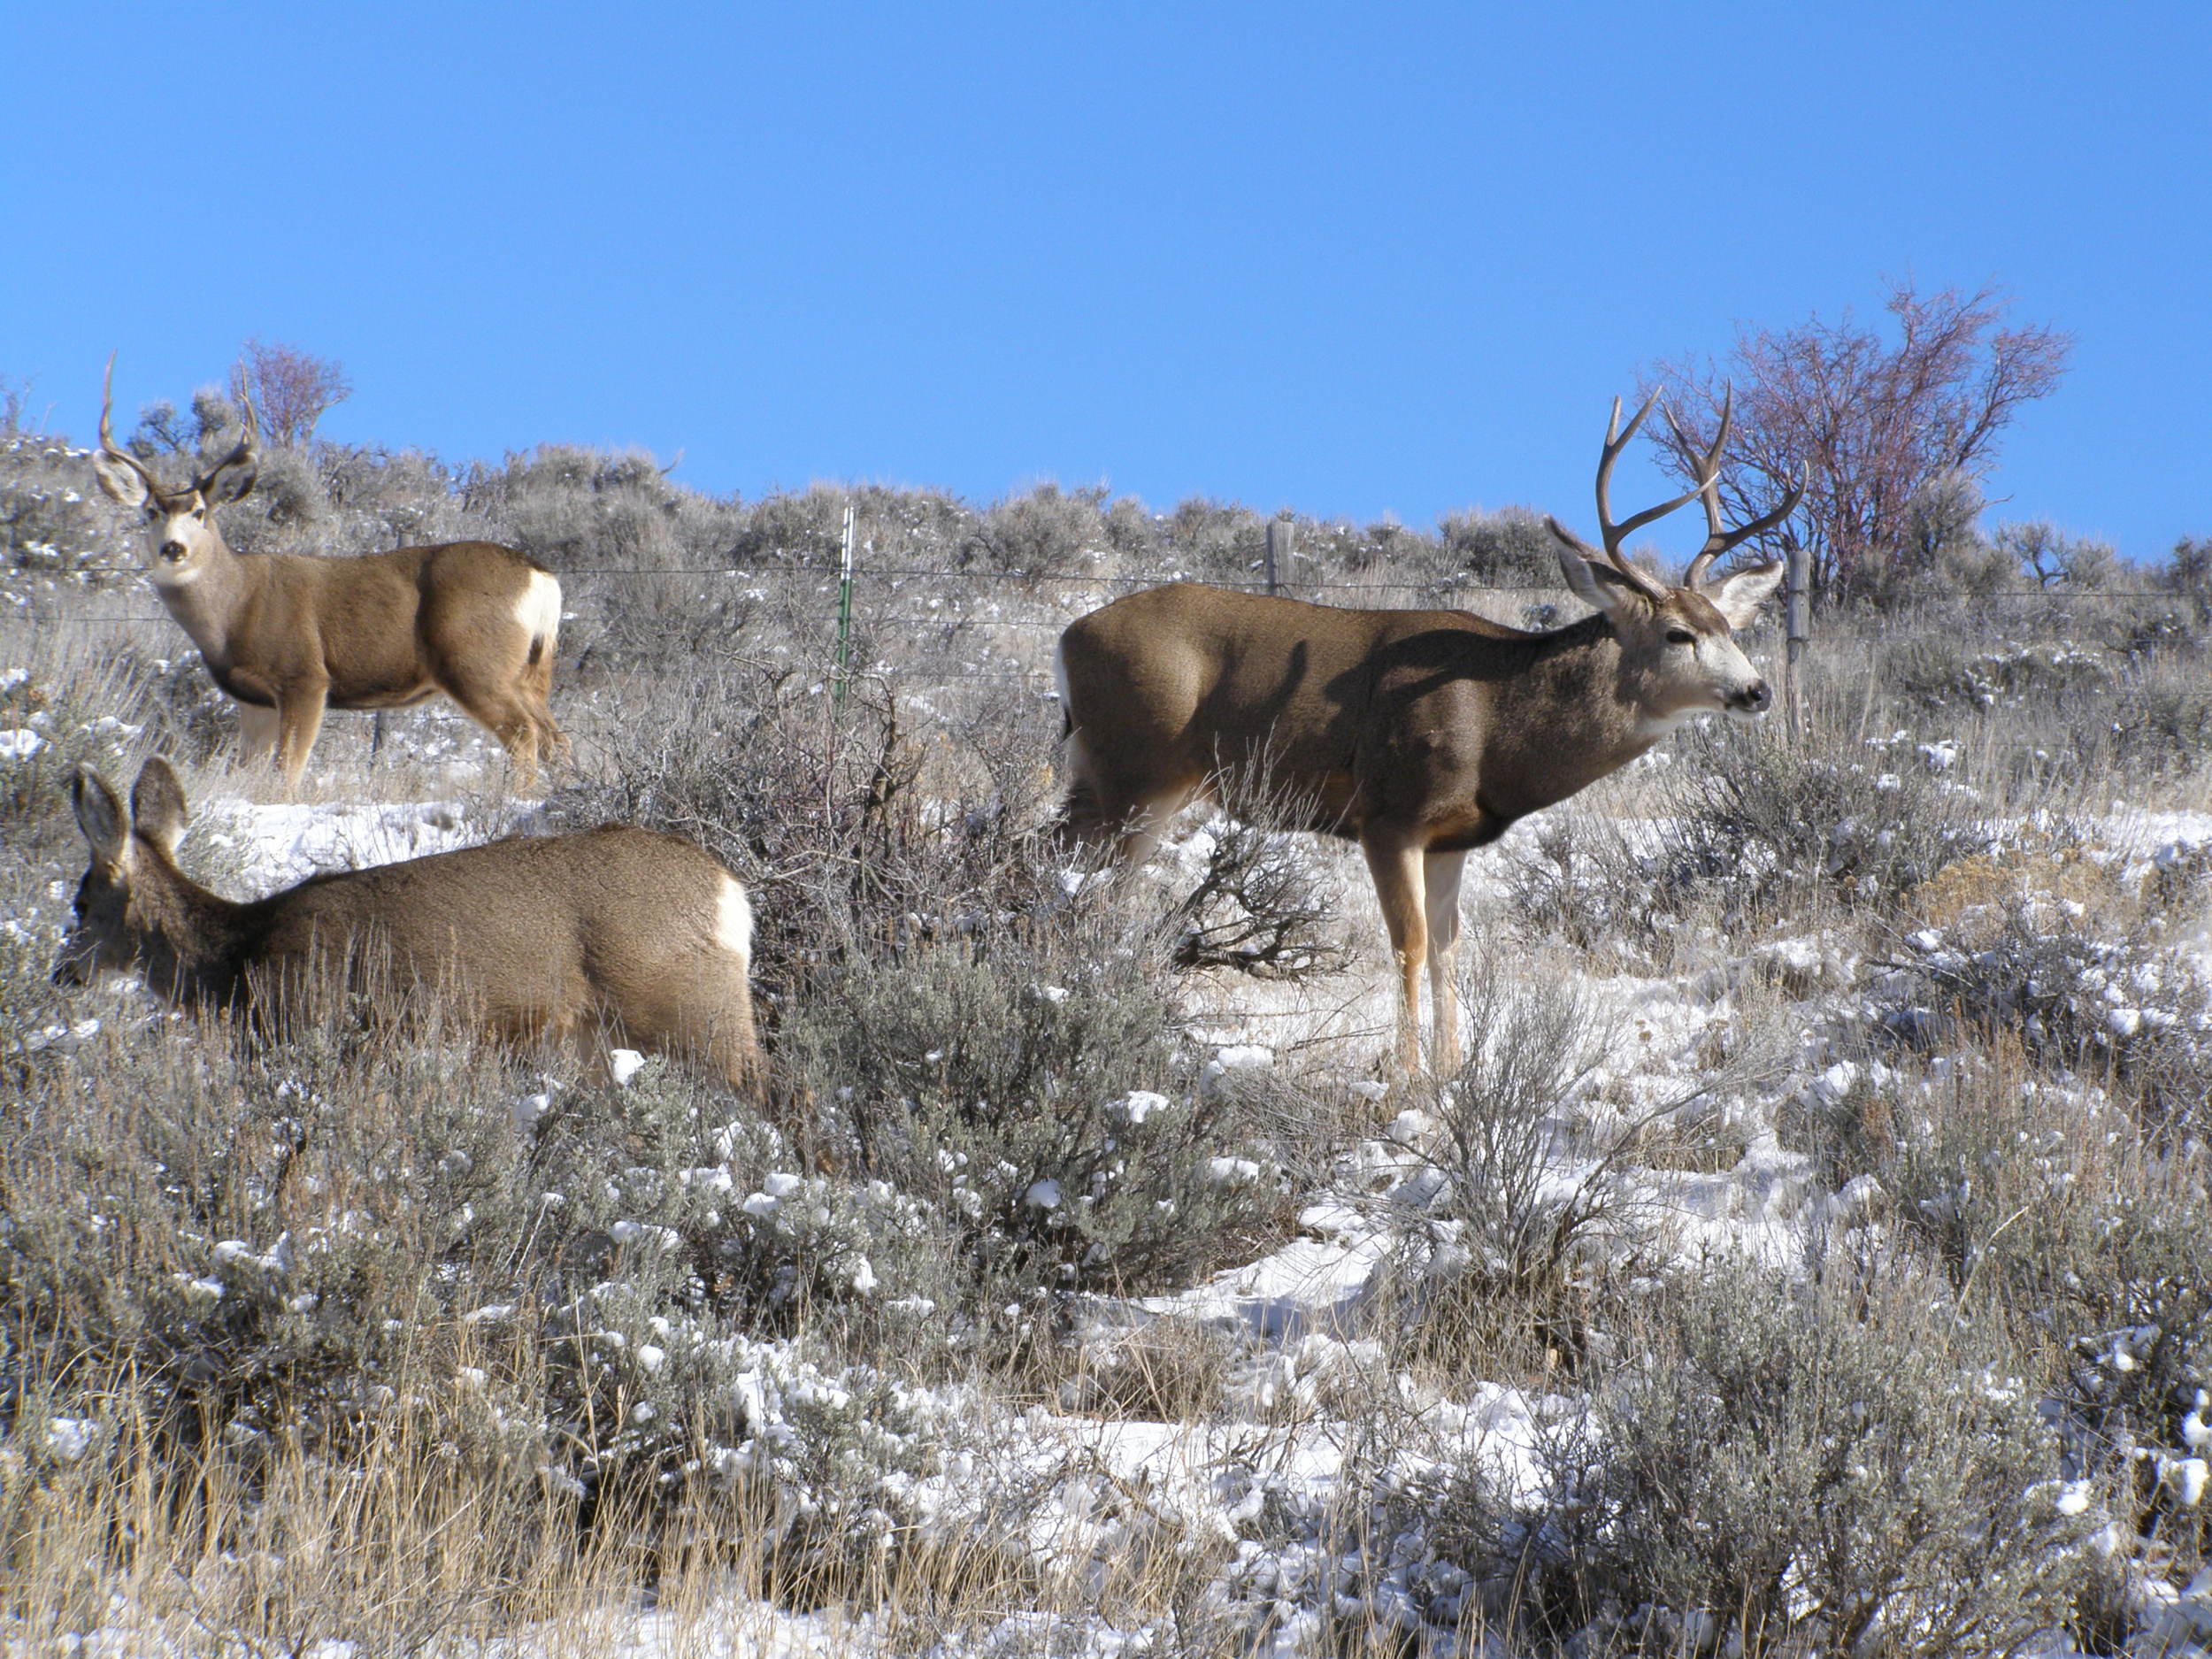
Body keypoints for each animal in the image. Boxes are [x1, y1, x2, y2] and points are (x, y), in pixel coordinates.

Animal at [53, 761, 761, 1097]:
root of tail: (731, 892)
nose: (62, 973)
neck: (238, 957)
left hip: (694, 1009)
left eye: (81, 901)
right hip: (589, 1037)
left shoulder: (316, 1025)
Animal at [89, 356, 566, 792]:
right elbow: (249, 773)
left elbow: (287, 773)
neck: (234, 609)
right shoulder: (252, 699)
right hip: (531, 671)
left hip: (474, 660)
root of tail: (541, 577)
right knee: (555, 738)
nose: (174, 548)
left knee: (523, 733)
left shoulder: (304, 676)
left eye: (200, 512)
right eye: (151, 512)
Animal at [1062, 400, 1805, 1079]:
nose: (1757, 691)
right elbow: (1409, 943)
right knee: (1094, 892)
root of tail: (1068, 637)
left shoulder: (1454, 835)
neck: (1496, 721)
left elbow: (1450, 946)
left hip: (1106, 780)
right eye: (1680, 634)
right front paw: (1407, 1075)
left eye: (1730, 628)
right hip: (1134, 775)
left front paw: (1453, 1068)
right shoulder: (1389, 814)